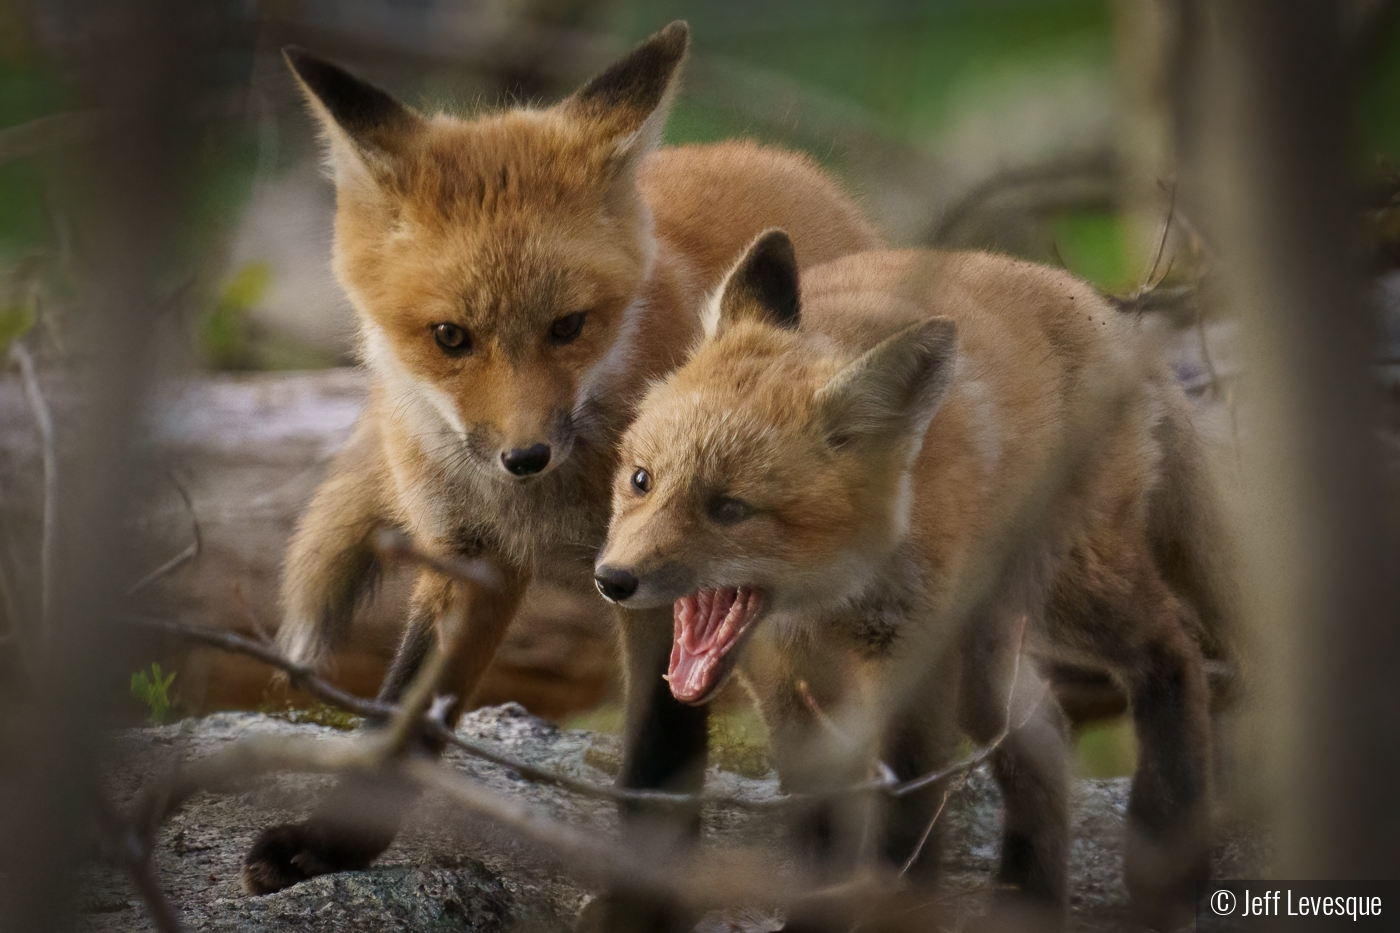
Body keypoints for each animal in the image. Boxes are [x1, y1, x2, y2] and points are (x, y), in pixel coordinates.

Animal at [239, 23, 873, 924]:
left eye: (570, 326)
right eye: (450, 336)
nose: (525, 454)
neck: (544, 508)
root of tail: (789, 167)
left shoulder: (666, 585)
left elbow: (660, 755)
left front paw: (642, 904)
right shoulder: (466, 560)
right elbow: (401, 714)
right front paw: (331, 843)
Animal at [596, 228, 1232, 924]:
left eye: (729, 509)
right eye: (641, 479)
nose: (613, 580)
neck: (828, 603)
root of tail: (1099, 309)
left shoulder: (911, 660)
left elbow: (905, 823)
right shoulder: (785, 682)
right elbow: (818, 832)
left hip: (1074, 590)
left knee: (1172, 650)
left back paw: (1166, 848)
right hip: (987, 656)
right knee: (1042, 732)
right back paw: (1028, 901)